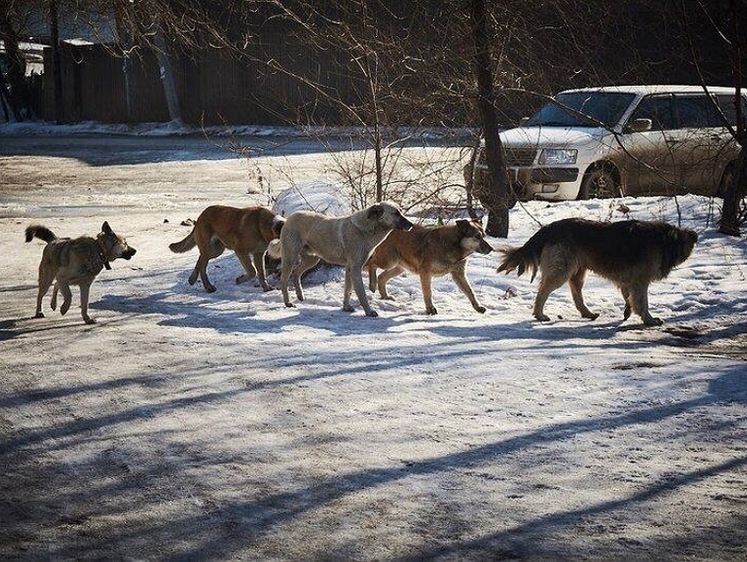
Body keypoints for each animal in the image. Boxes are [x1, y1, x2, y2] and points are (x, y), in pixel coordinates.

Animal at [276, 200, 414, 316]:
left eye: (400, 211)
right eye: (396, 213)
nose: (412, 225)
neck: (366, 229)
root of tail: (288, 218)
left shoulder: (349, 268)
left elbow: (348, 290)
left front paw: (346, 307)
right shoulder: (355, 268)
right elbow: (361, 292)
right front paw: (369, 311)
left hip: (311, 259)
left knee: (296, 273)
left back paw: (300, 296)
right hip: (290, 257)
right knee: (284, 280)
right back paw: (287, 302)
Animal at [366, 220, 494, 316]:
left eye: (484, 236)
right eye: (477, 236)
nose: (491, 249)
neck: (455, 246)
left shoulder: (459, 274)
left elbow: (470, 292)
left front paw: (478, 307)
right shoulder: (425, 273)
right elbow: (428, 292)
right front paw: (430, 309)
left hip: (399, 266)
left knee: (381, 276)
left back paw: (385, 296)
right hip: (389, 261)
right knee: (372, 264)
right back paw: (372, 285)